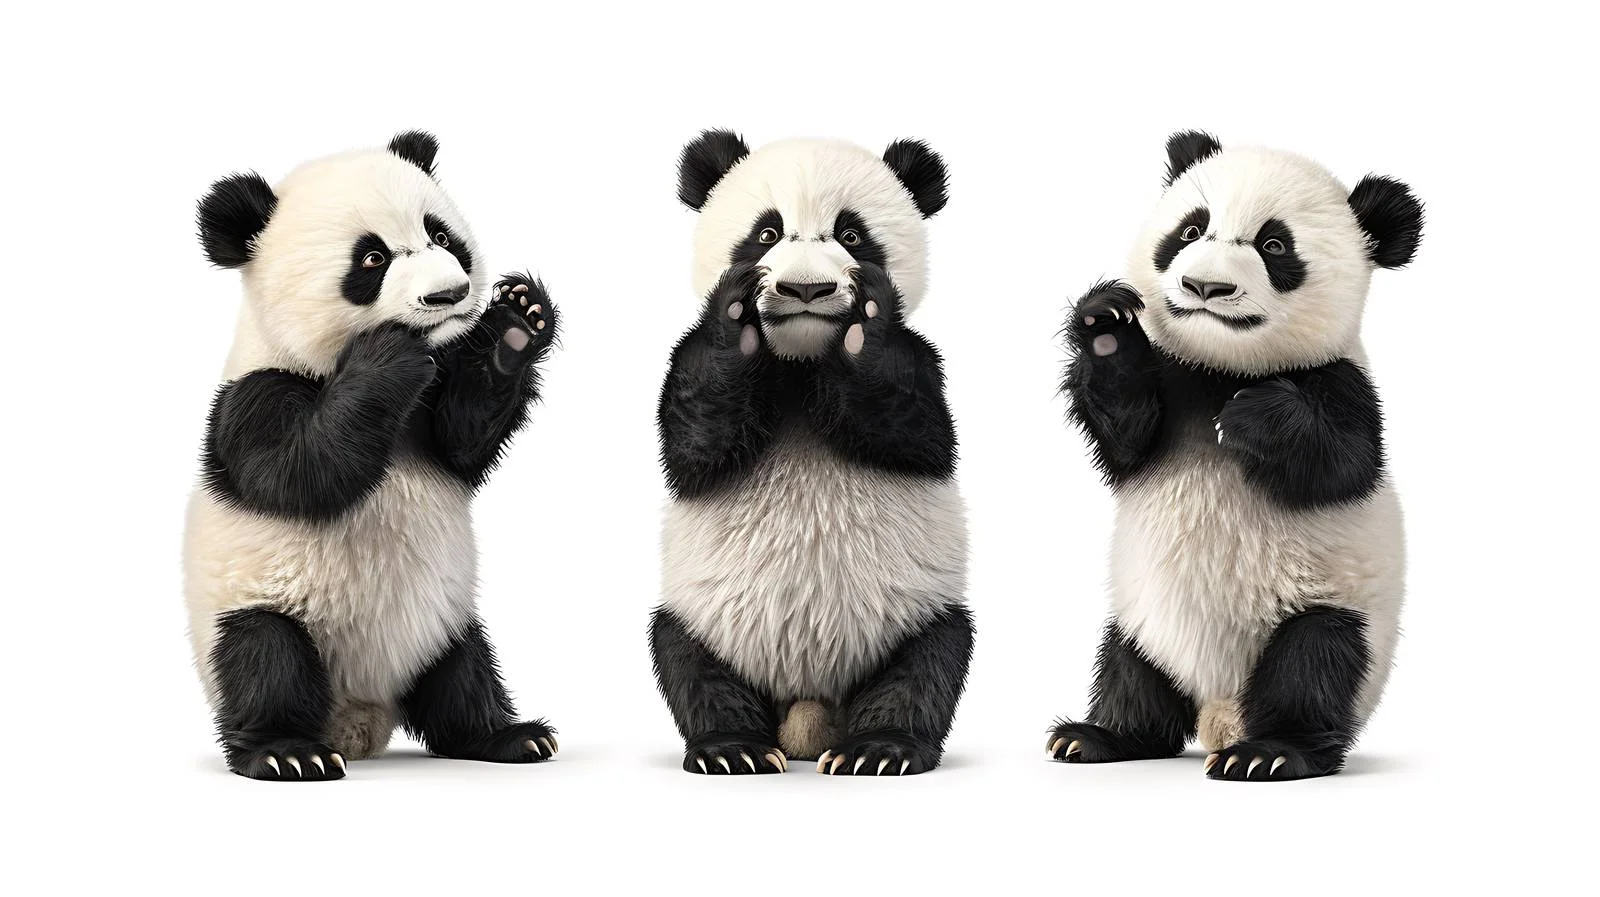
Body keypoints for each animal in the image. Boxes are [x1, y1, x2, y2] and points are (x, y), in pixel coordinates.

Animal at [184, 131, 561, 781]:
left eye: (441, 235)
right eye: (372, 259)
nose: (450, 294)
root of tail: (360, 718)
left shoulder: (428, 414)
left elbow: (462, 439)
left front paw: (517, 321)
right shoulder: (252, 399)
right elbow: (301, 472)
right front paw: (385, 357)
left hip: (440, 621)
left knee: (462, 672)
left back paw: (507, 736)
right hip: (254, 607)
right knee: (264, 657)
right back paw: (289, 752)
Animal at [649, 131, 973, 776]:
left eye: (851, 234)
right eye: (766, 233)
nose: (805, 289)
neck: (801, 359)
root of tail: (807, 707)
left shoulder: (923, 366)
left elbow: (921, 436)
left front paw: (864, 326)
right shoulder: (687, 369)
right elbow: (693, 449)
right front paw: (736, 319)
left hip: (914, 613)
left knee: (930, 661)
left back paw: (880, 750)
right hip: (704, 617)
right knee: (686, 661)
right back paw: (733, 748)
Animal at [1048, 131, 1422, 781]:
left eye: (1274, 245)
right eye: (1192, 229)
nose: (1205, 288)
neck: (1223, 366)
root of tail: (1220, 709)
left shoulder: (1343, 380)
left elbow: (1346, 465)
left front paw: (1256, 418)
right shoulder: (1175, 383)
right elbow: (1126, 438)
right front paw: (1105, 326)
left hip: (1333, 611)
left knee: (1315, 662)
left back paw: (1269, 753)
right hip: (1142, 619)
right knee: (1130, 670)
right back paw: (1098, 737)